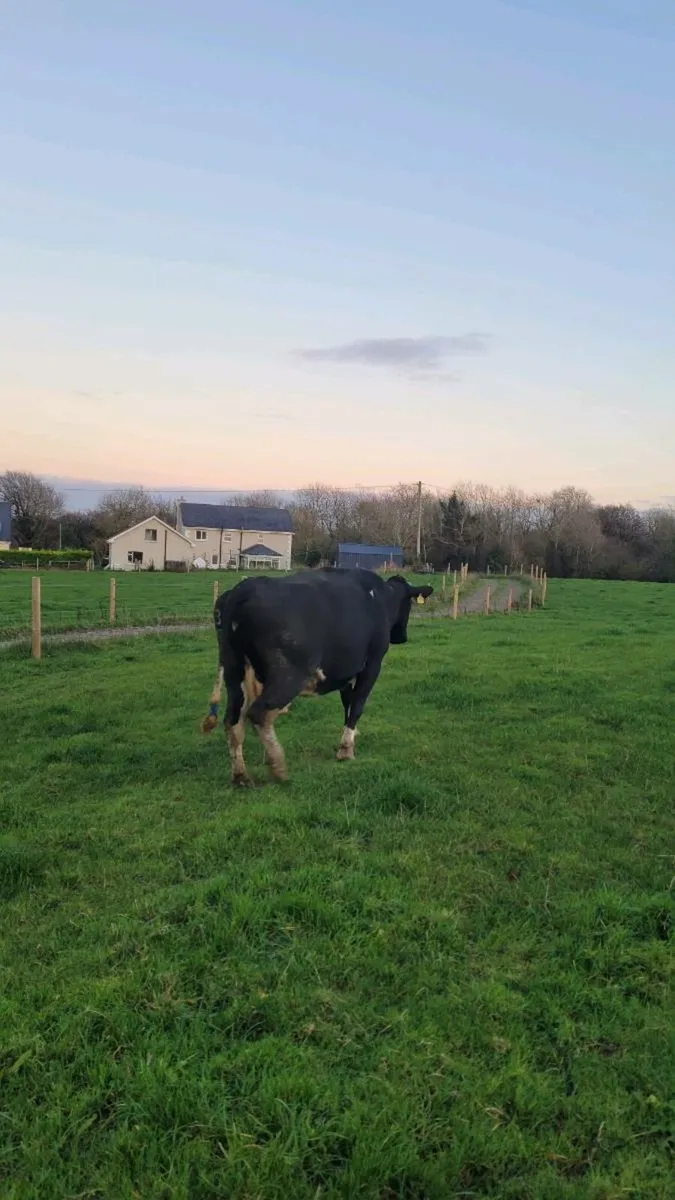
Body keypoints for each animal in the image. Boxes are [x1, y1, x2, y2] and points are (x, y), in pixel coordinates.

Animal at [202, 568, 433, 785]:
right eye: (409, 605)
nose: (402, 637)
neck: (380, 597)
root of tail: (243, 589)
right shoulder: (372, 664)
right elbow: (358, 704)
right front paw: (346, 750)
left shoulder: (345, 670)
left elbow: (347, 703)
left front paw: (349, 736)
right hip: (288, 674)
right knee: (259, 713)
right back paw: (277, 765)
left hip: (234, 670)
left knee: (233, 721)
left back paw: (241, 776)